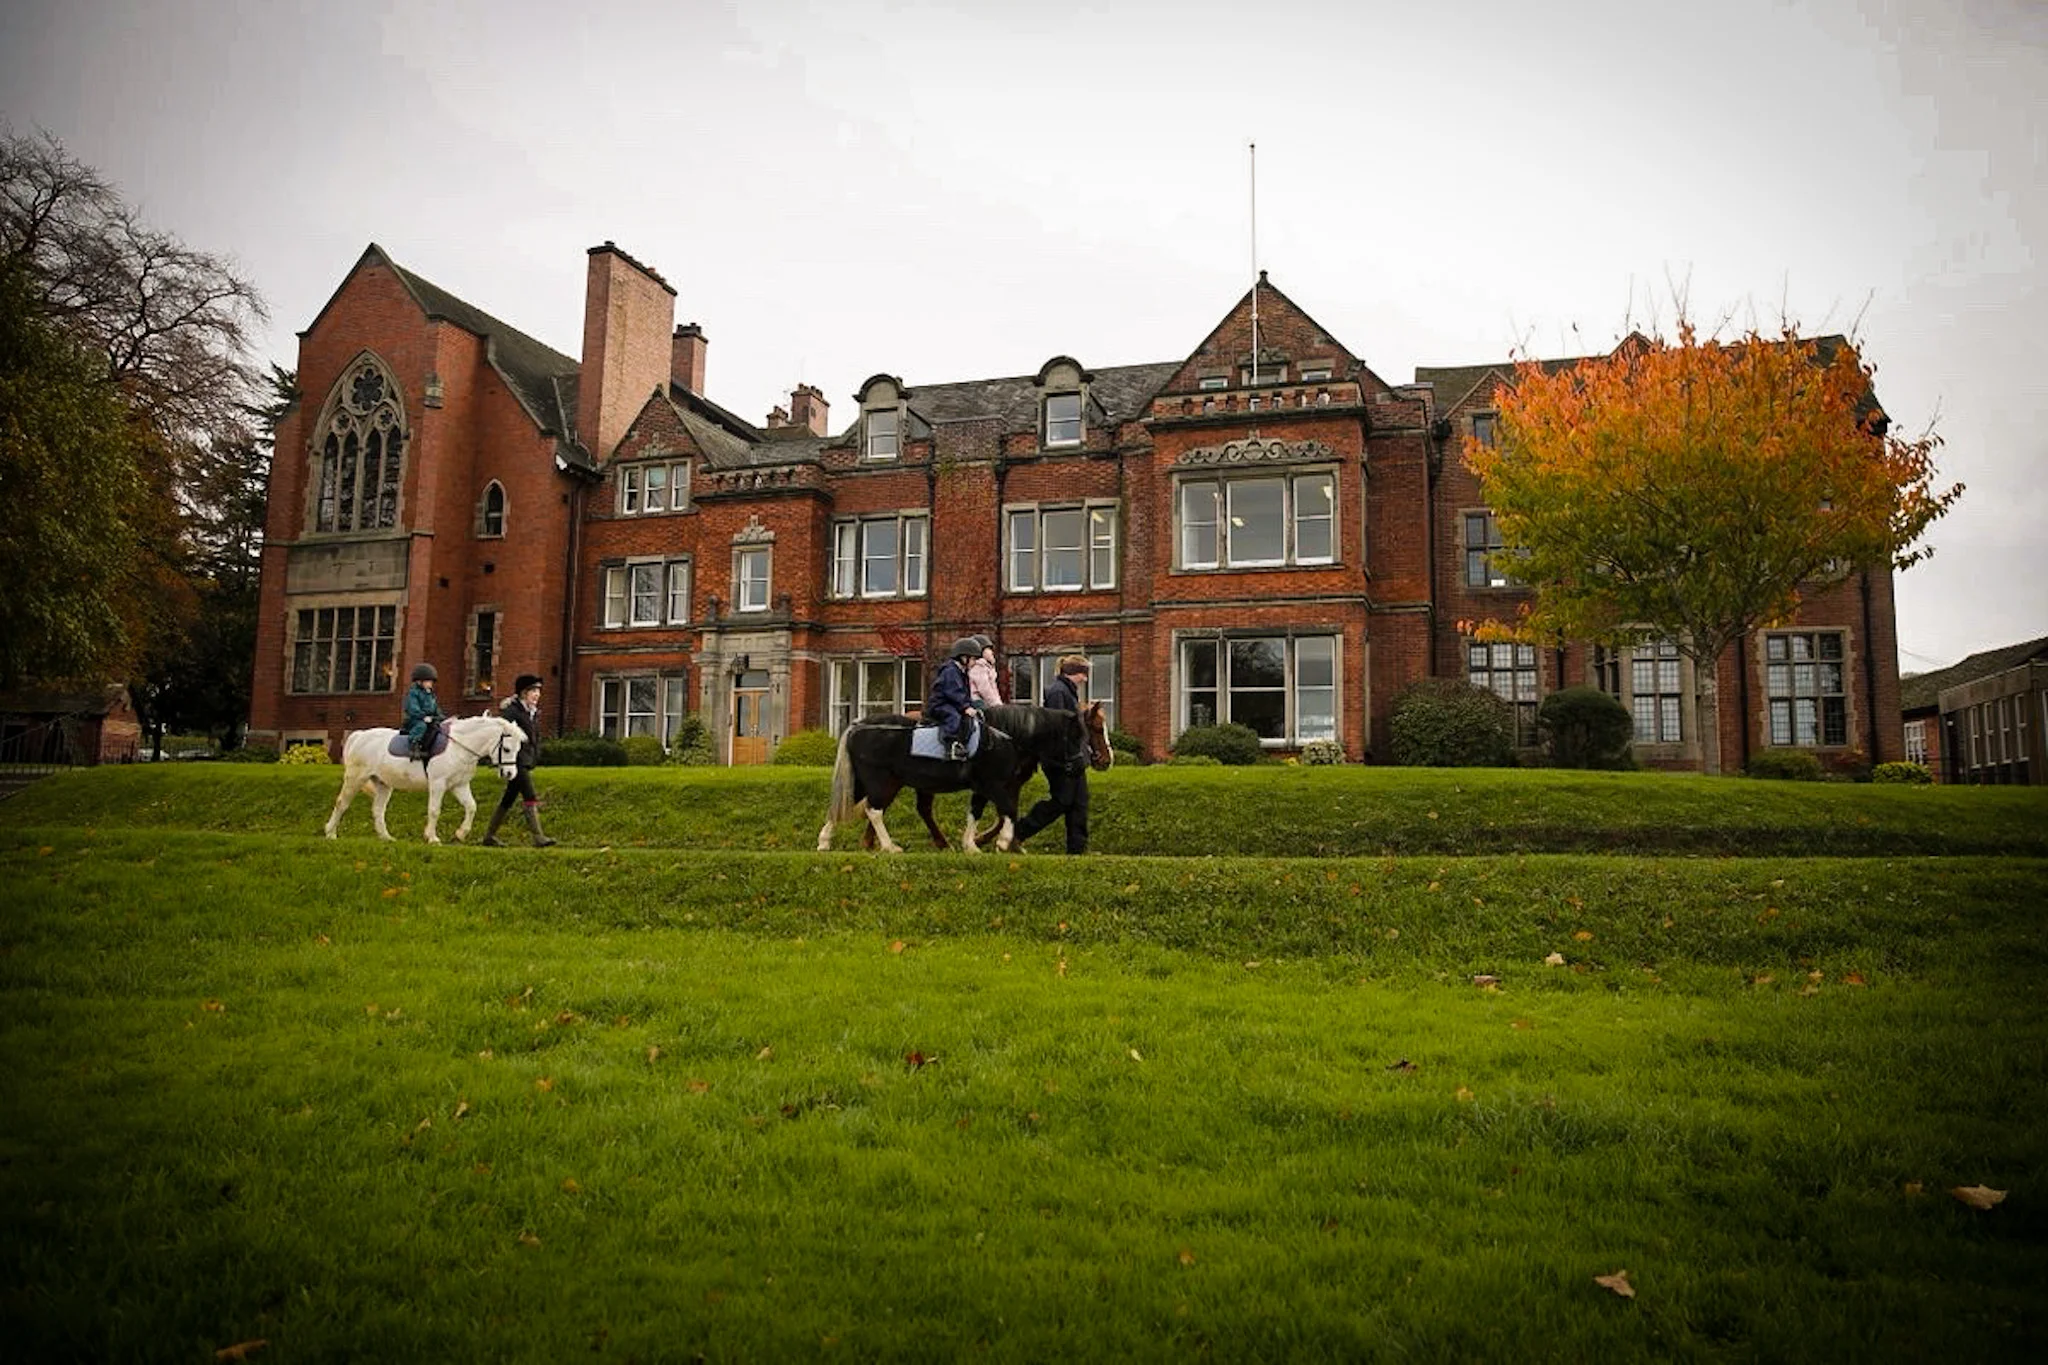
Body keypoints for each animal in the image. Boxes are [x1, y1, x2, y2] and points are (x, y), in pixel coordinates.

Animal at [319, 716, 528, 843]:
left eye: (519, 749)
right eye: (507, 749)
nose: (510, 774)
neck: (459, 747)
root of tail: (360, 735)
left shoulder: (459, 785)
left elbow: (471, 807)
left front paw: (460, 834)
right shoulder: (438, 784)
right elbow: (434, 810)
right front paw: (432, 838)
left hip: (384, 784)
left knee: (378, 810)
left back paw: (386, 837)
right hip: (356, 778)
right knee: (342, 803)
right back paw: (330, 833)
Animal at [819, 703, 1105, 855]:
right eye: (1077, 736)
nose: (1080, 766)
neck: (1003, 736)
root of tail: (857, 725)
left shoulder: (983, 786)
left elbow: (975, 813)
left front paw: (972, 844)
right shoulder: (994, 784)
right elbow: (1009, 810)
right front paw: (1003, 841)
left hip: (864, 780)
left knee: (845, 807)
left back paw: (825, 842)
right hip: (881, 780)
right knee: (874, 810)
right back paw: (889, 846)